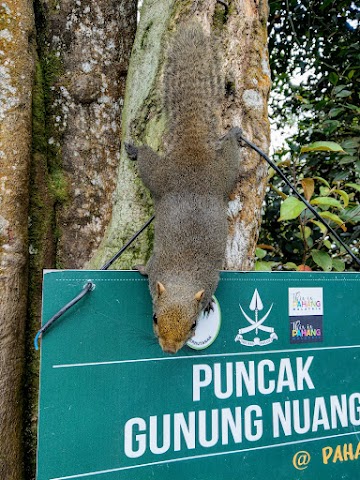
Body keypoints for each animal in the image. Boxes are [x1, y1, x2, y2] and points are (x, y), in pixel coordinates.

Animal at [125, 22, 240, 352]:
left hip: (217, 175)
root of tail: (192, 153)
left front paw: (210, 305)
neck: (183, 274)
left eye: (193, 326)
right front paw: (140, 269)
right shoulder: (158, 266)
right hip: (176, 175)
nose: (168, 349)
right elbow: (149, 269)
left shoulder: (211, 278)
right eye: (154, 318)